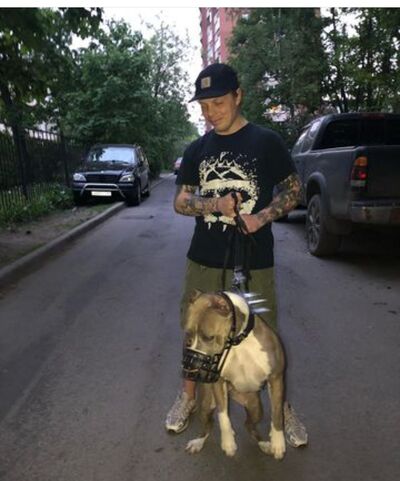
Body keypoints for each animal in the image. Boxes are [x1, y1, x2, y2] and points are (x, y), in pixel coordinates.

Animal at [182, 289, 286, 459]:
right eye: (188, 335)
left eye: (208, 337)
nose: (192, 366)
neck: (238, 342)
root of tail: (234, 394)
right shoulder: (218, 382)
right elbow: (223, 415)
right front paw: (228, 442)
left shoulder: (276, 378)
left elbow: (277, 413)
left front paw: (278, 442)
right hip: (206, 404)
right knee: (208, 426)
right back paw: (198, 442)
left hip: (255, 407)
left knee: (249, 425)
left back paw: (264, 444)